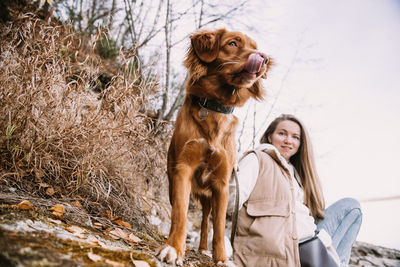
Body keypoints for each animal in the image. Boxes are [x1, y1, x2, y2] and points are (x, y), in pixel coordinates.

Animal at [156, 28, 272, 266]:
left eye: (255, 47)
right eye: (233, 43)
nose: (263, 58)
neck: (215, 107)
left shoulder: (222, 183)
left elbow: (218, 227)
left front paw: (221, 259)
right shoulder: (183, 170)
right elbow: (180, 214)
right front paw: (173, 248)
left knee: (205, 221)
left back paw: (203, 248)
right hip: (173, 181)